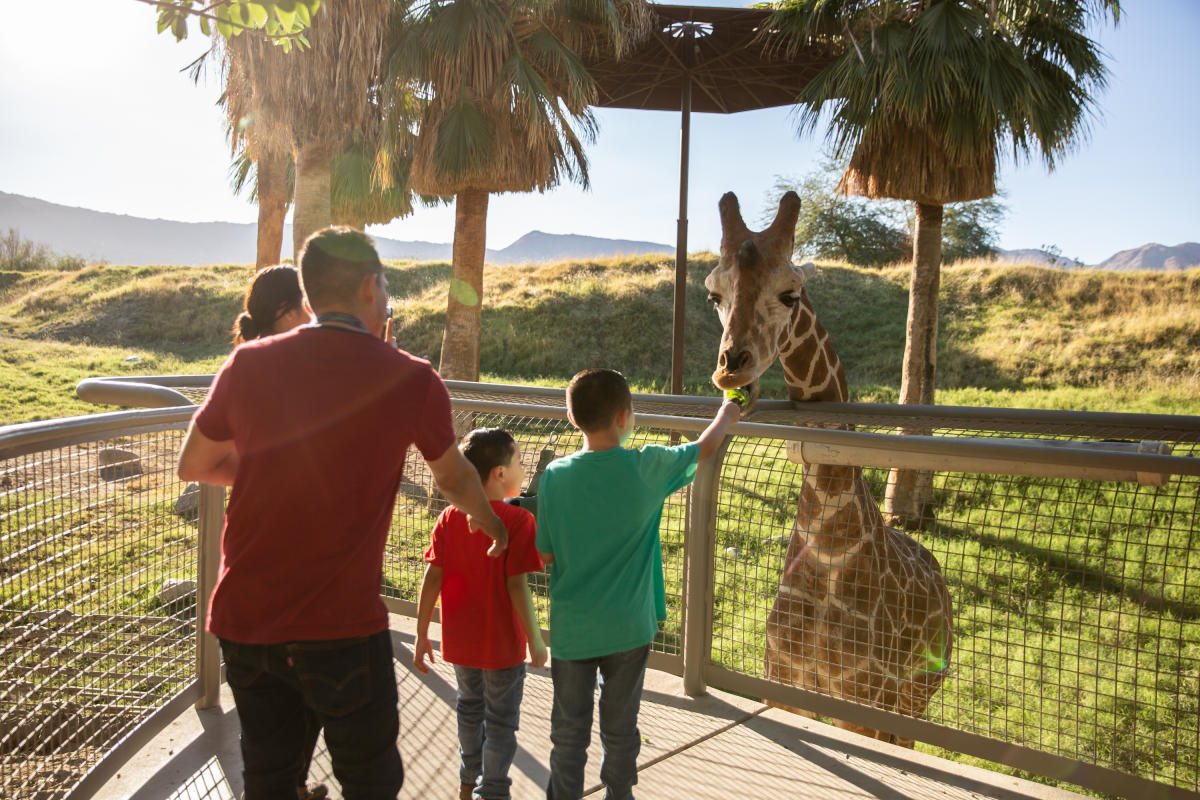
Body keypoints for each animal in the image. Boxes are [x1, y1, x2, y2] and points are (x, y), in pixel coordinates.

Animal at [700, 190, 955, 748]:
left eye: (791, 293)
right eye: (713, 294)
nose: (731, 367)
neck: (830, 551)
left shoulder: (864, 702)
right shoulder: (782, 684)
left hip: (916, 694)